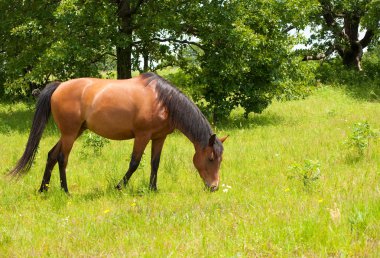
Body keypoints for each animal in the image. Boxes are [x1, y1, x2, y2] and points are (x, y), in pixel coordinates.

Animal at [8, 72, 227, 194]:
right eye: (210, 158)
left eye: (220, 160)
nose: (214, 187)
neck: (163, 100)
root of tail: (59, 86)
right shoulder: (142, 135)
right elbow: (134, 163)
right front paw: (119, 186)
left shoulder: (159, 137)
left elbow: (155, 163)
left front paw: (153, 189)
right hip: (70, 133)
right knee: (62, 158)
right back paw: (65, 191)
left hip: (74, 132)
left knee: (52, 155)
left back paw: (43, 190)